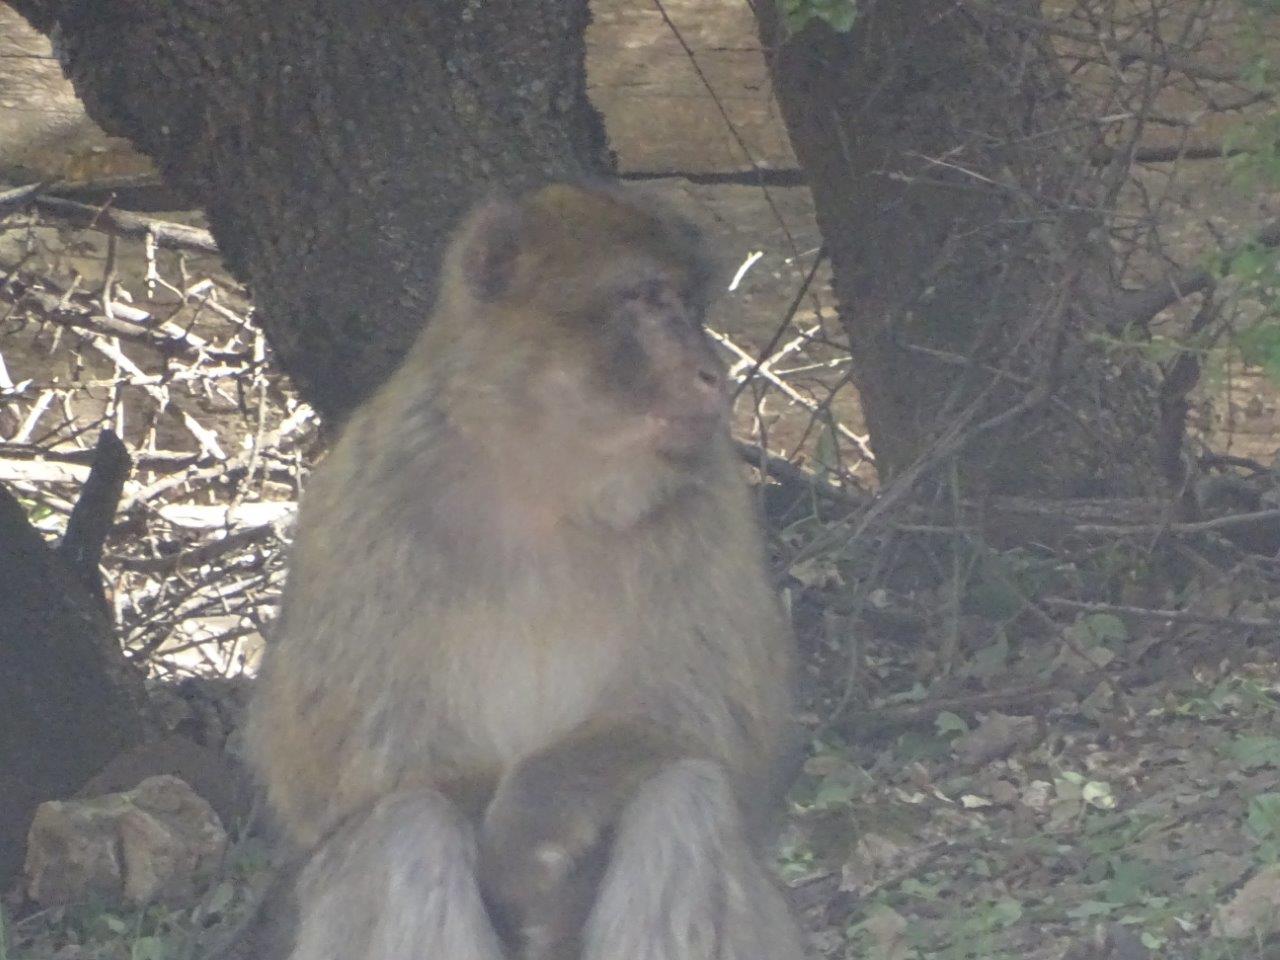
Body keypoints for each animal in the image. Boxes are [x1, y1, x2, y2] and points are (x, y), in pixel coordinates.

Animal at [239, 182, 806, 960]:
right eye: (647, 298)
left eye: (690, 308)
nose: (713, 372)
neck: (549, 486)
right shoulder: (359, 504)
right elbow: (338, 773)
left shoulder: (711, 501)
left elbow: (718, 728)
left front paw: (530, 825)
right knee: (407, 830)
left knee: (685, 796)